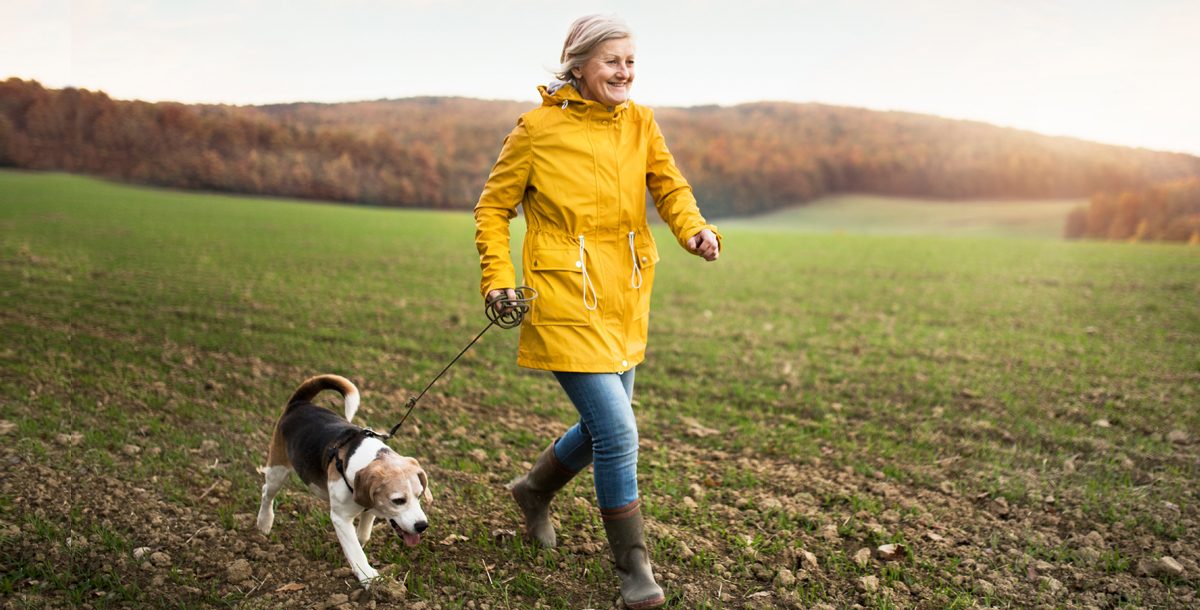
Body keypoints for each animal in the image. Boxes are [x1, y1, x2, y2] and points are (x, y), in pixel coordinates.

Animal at [255, 372, 434, 585]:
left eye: (420, 496)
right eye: (398, 500)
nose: (422, 526)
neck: (368, 459)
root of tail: (299, 403)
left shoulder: (369, 508)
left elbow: (361, 536)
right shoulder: (340, 517)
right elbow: (355, 549)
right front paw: (369, 577)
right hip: (278, 470)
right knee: (267, 493)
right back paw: (264, 522)